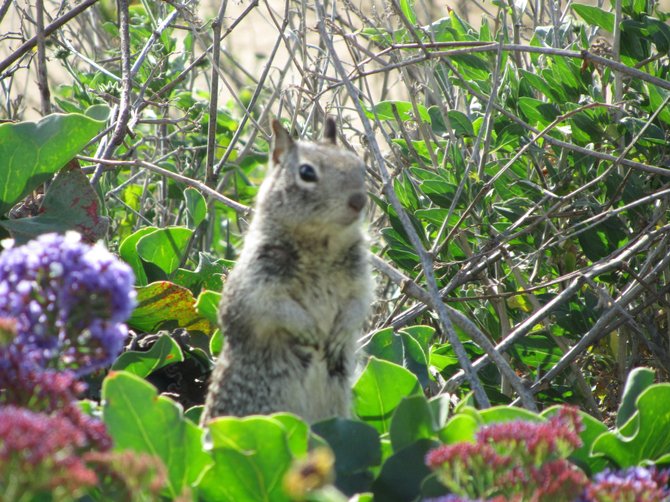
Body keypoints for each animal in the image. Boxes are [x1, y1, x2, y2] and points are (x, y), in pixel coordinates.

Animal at [202, 117, 376, 424]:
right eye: (306, 172)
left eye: (359, 166)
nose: (359, 201)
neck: (320, 243)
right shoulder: (256, 284)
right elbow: (273, 309)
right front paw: (309, 332)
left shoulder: (360, 279)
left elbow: (358, 305)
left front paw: (339, 334)